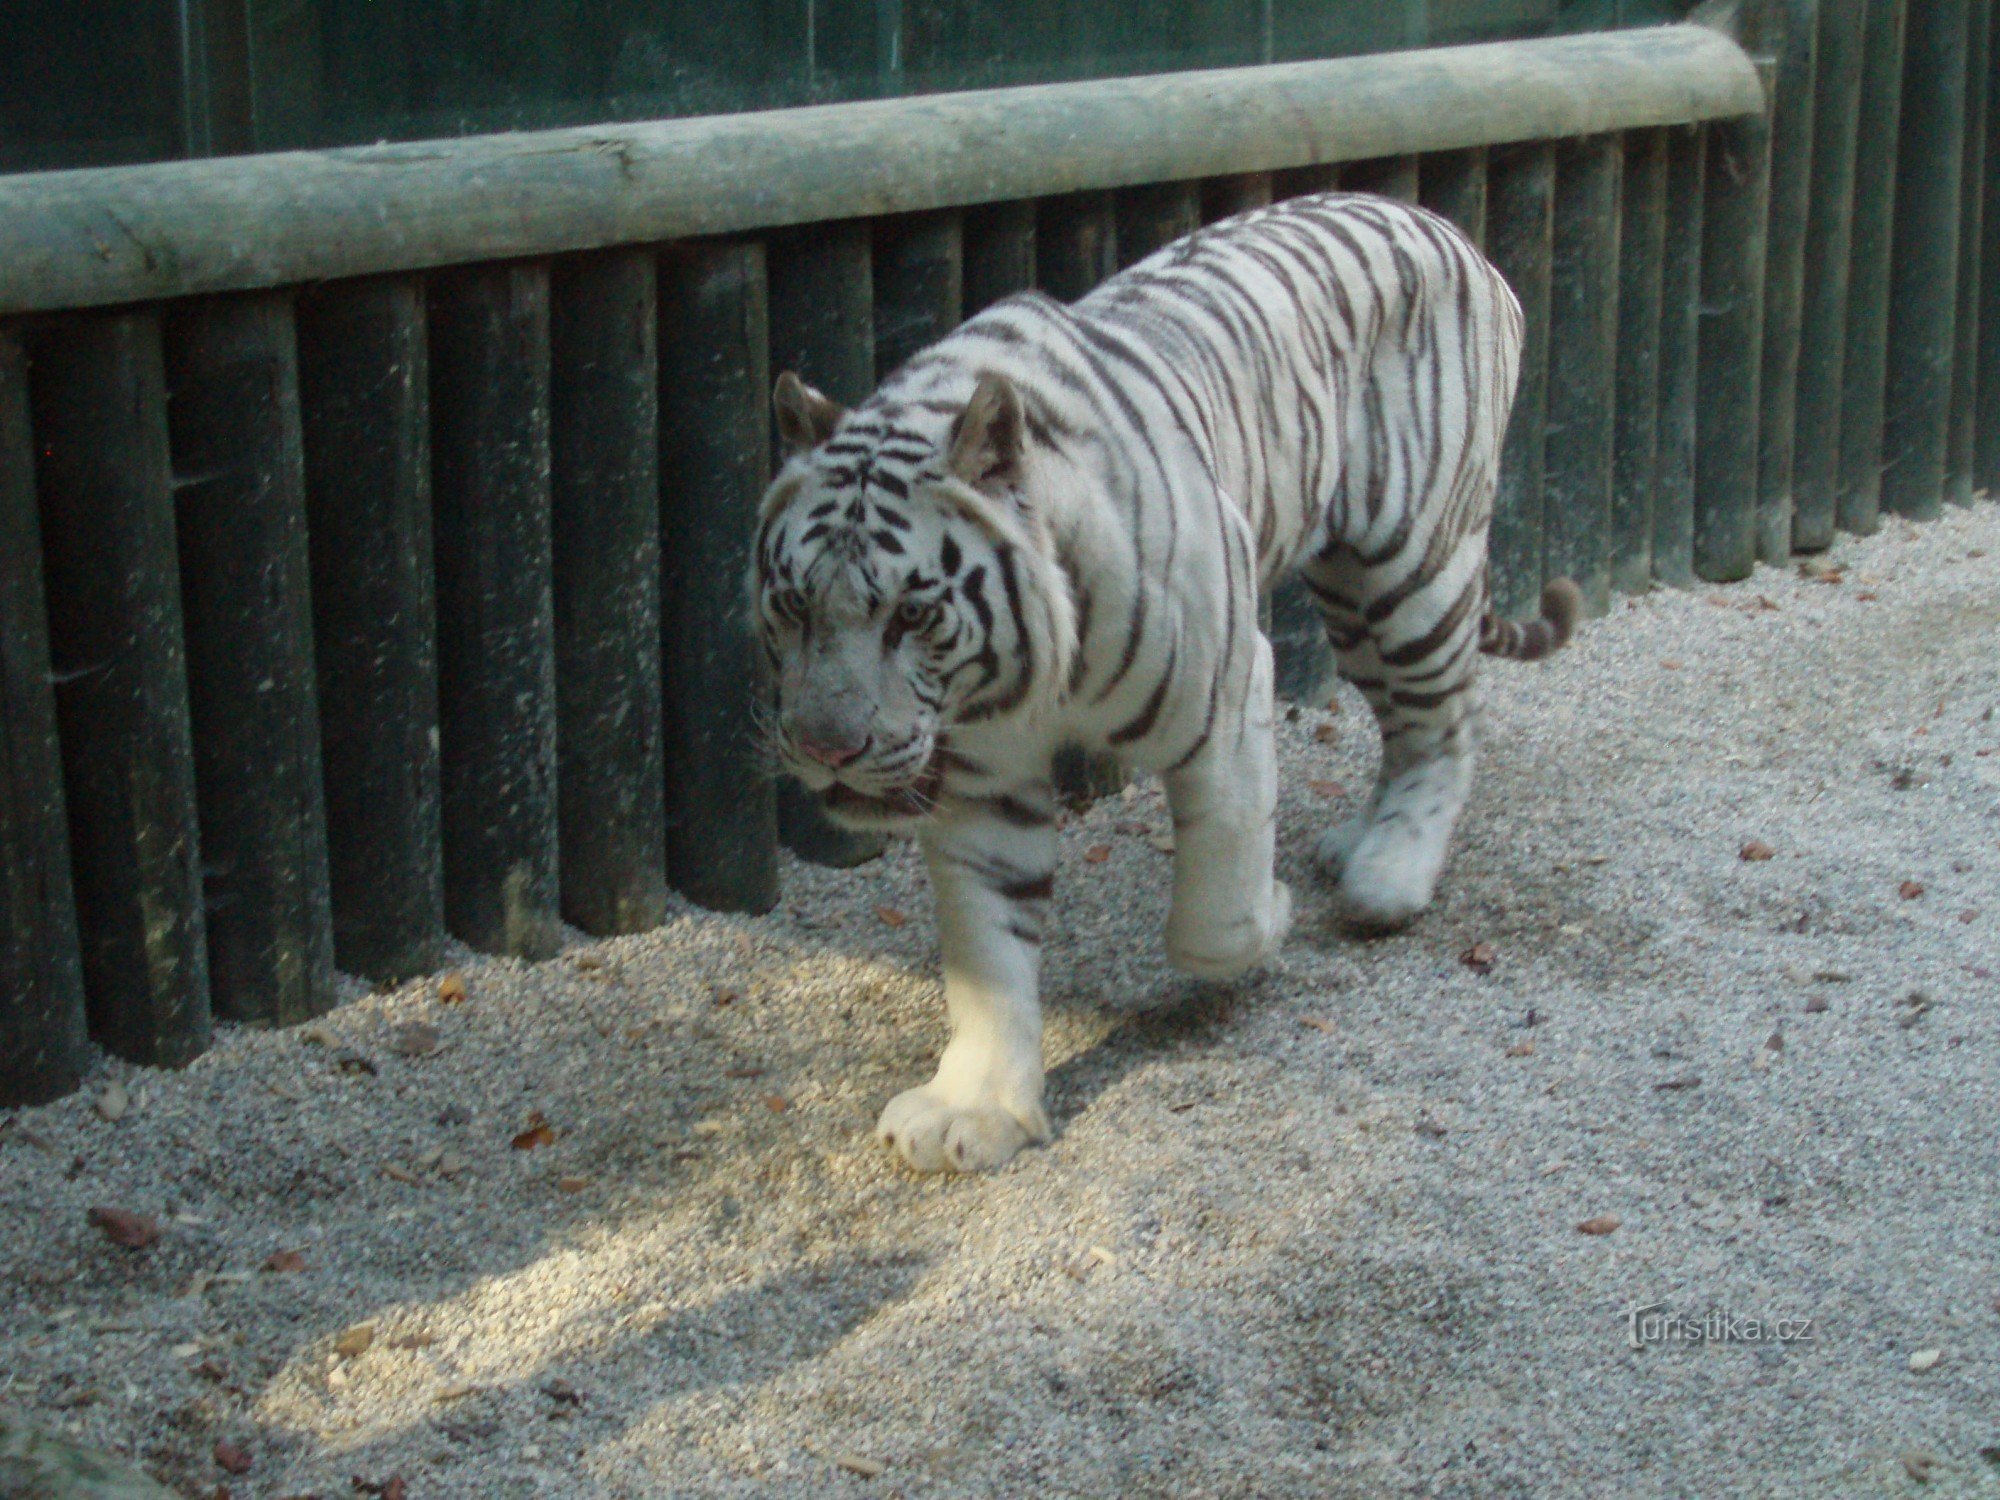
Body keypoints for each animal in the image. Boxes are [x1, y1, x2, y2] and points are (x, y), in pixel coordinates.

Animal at [752, 191, 1576, 1176]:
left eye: (910, 615)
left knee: (1443, 724)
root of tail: (1446, 227)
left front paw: (1269, 915)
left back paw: (1390, 873)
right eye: (794, 606)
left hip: (1411, 568)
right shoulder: (983, 770)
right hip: (1349, 601)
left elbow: (1212, 919)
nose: (827, 750)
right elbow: (988, 949)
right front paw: (974, 1108)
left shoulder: (1227, 699)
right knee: (1404, 719)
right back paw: (1357, 842)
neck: (1027, 675)